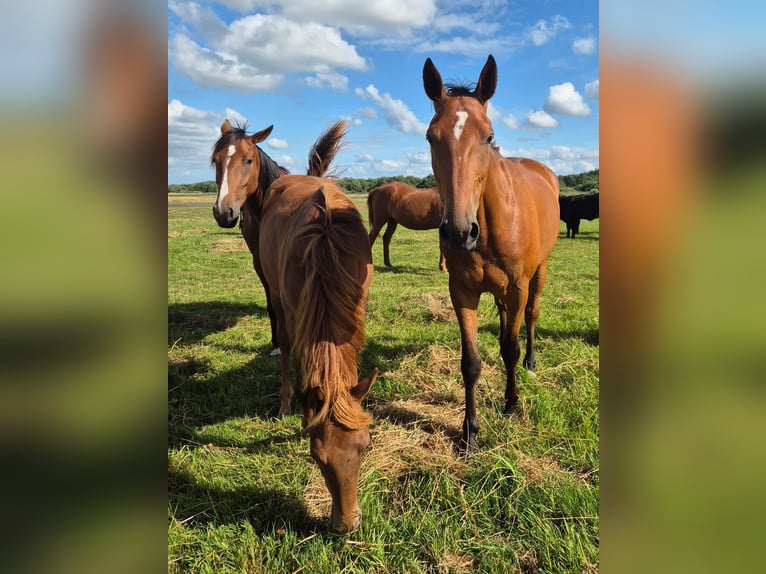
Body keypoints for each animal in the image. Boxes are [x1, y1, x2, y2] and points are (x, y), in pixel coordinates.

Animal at [210, 119, 288, 356]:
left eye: (249, 160)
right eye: (215, 160)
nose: (223, 213)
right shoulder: (260, 261)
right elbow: (272, 303)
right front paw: (276, 344)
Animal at [424, 55, 560, 454]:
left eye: (488, 136)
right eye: (431, 137)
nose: (458, 232)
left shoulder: (517, 287)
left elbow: (510, 348)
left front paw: (511, 404)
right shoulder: (462, 291)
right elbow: (471, 362)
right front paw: (469, 432)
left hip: (538, 274)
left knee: (529, 316)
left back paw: (530, 361)